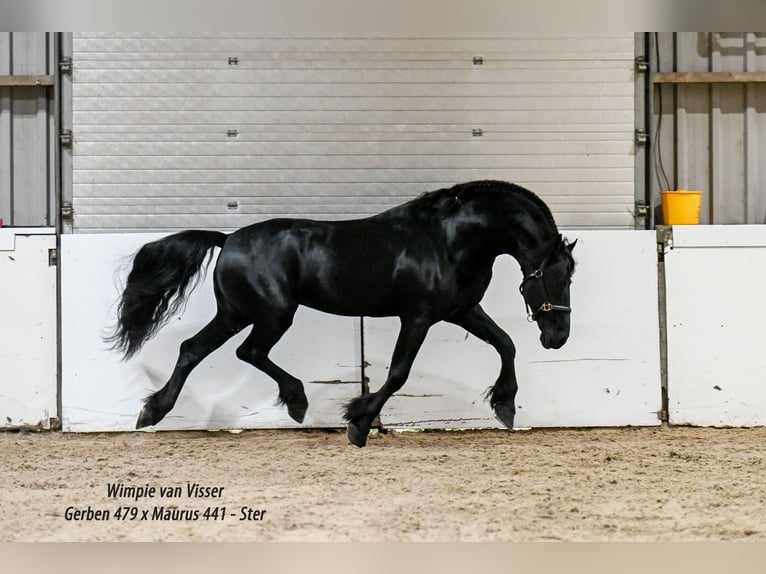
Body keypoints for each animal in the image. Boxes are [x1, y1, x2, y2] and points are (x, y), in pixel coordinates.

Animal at [107, 180, 576, 447]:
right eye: (555, 276)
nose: (558, 338)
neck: (447, 240)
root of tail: (228, 239)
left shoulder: (462, 310)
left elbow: (506, 344)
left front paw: (506, 405)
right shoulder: (419, 317)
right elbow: (398, 373)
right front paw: (359, 424)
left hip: (238, 313)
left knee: (198, 349)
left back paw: (155, 412)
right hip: (272, 314)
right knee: (245, 352)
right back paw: (292, 401)